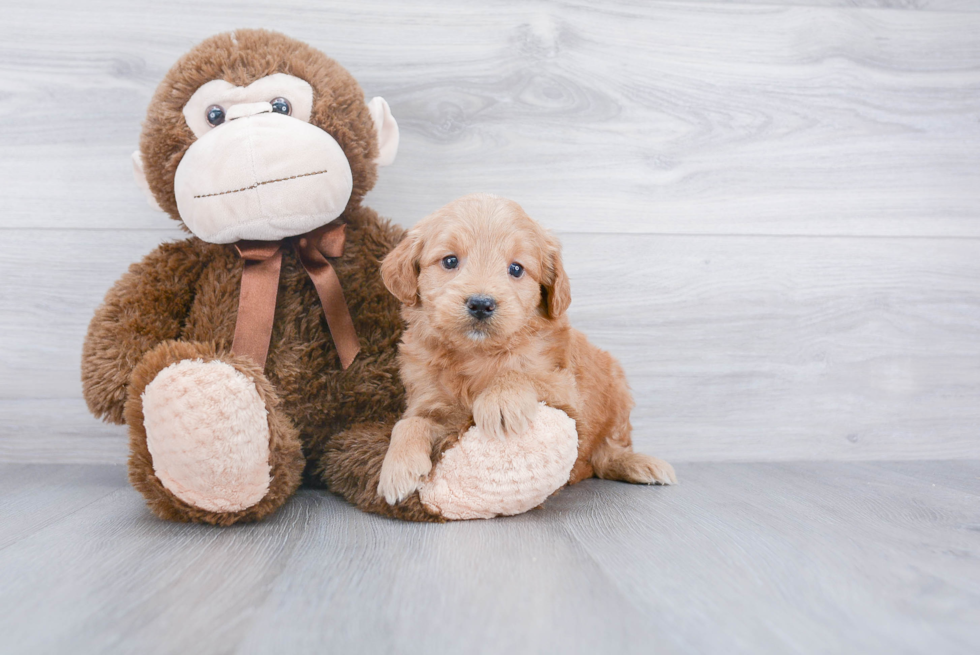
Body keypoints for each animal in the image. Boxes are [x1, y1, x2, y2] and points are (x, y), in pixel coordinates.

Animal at [376, 192, 672, 504]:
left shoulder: (565, 392)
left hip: (617, 389)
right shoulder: (431, 405)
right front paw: (397, 469)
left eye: (516, 268)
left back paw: (638, 464)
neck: (476, 354)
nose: (481, 304)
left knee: (609, 453)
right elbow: (408, 423)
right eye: (450, 260)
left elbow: (522, 373)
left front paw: (500, 401)